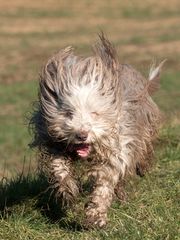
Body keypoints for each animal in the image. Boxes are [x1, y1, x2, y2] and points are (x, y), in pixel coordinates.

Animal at [29, 33, 165, 227]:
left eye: (94, 113)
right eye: (69, 113)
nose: (81, 135)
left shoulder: (117, 147)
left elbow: (105, 182)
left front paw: (95, 216)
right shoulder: (54, 141)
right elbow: (58, 167)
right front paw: (68, 190)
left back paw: (139, 171)